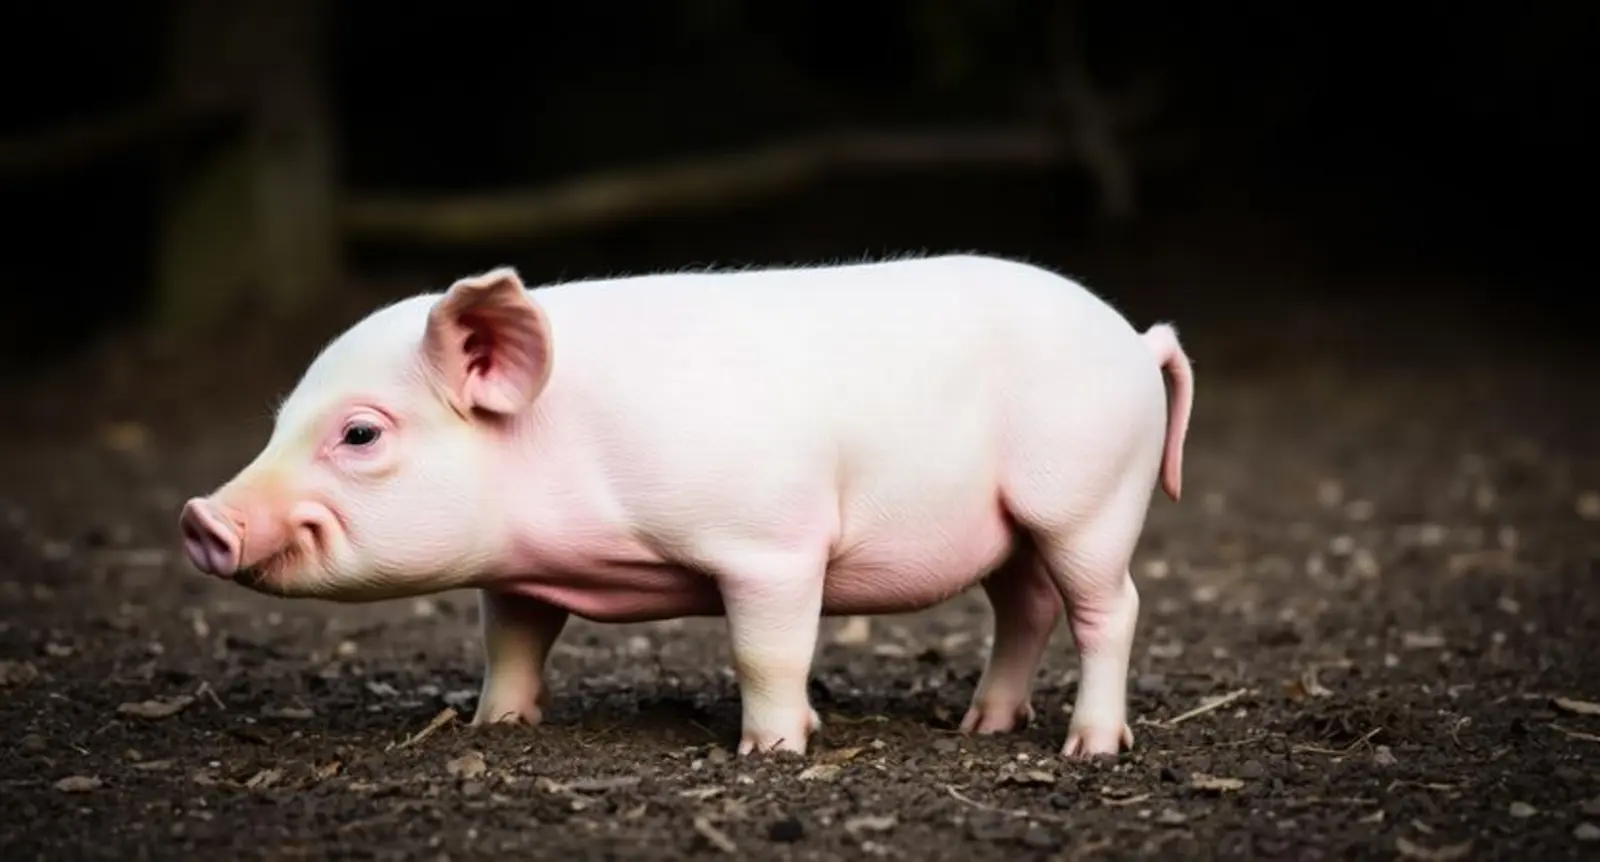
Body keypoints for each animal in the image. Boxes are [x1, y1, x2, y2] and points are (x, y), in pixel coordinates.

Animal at [178, 254, 1193, 759]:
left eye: (359, 435)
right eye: (281, 421)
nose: (200, 516)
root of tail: (1135, 338)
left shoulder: (772, 544)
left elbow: (766, 651)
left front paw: (775, 750)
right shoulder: (518, 575)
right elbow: (511, 642)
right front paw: (497, 727)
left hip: (1088, 497)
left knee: (1110, 608)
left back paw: (1089, 751)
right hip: (1015, 528)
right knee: (1025, 607)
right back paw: (983, 727)